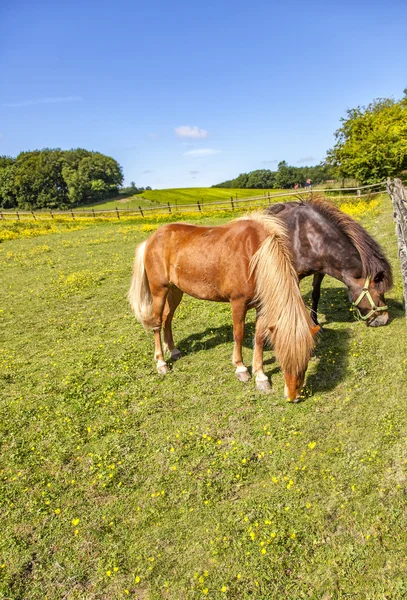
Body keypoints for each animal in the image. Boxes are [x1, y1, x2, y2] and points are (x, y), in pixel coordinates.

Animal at [129, 213, 320, 400]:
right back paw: (161, 362)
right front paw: (241, 368)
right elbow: (239, 334)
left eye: (306, 359)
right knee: (157, 323)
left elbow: (259, 338)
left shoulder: (261, 306)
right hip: (159, 291)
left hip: (175, 291)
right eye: (282, 358)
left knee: (167, 319)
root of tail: (151, 239)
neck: (253, 256)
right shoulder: (238, 303)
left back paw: (173, 350)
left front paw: (260, 376)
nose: (294, 396)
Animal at [266, 199, 394, 326]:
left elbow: (315, 295)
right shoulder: (294, 276)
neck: (312, 239)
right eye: (379, 294)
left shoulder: (320, 272)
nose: (384, 320)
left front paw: (315, 322)